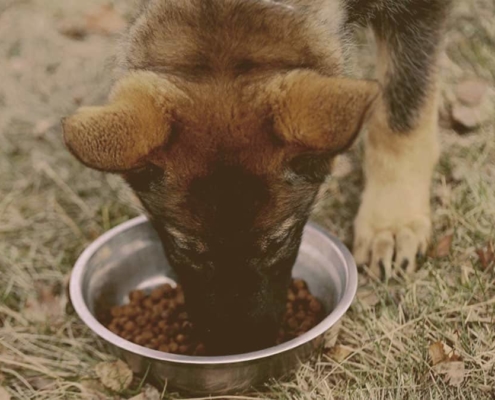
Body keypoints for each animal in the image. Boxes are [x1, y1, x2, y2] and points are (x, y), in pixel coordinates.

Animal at [62, 0, 454, 352]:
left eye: (278, 243)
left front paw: (392, 222)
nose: (239, 345)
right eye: (184, 250)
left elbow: (401, 114)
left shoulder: (419, 13)